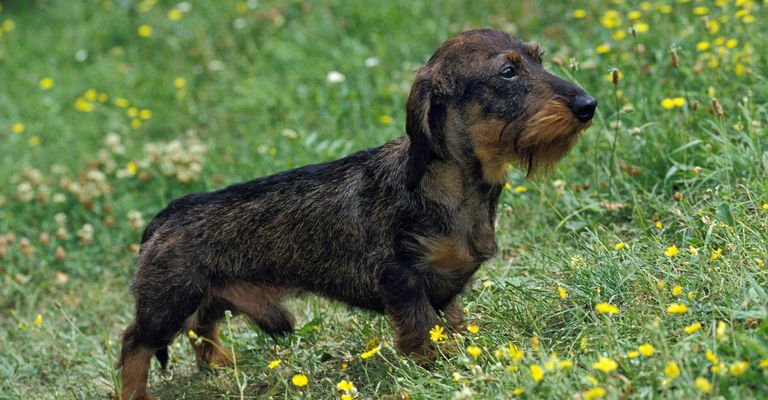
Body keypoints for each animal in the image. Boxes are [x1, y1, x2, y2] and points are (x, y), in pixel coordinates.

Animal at [117, 28, 596, 400]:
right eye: (507, 72)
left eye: (538, 59)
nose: (588, 104)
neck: (453, 186)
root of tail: (164, 216)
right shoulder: (401, 279)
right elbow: (421, 329)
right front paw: (438, 366)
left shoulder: (446, 287)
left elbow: (452, 323)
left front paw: (462, 352)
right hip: (167, 303)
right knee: (134, 343)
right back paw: (136, 391)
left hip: (206, 295)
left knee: (203, 327)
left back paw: (218, 363)